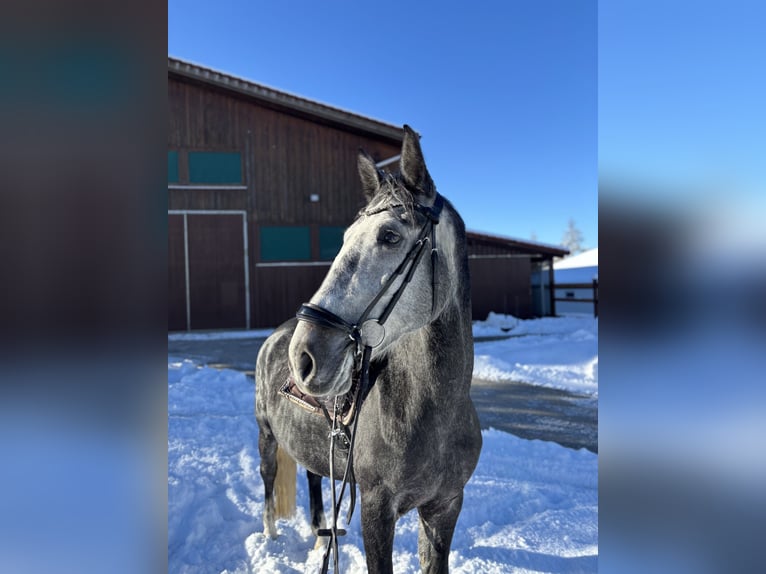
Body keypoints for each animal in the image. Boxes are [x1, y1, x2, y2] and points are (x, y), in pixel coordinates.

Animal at [258, 126, 486, 574]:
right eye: (345, 238)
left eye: (390, 236)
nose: (304, 355)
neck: (434, 412)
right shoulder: (377, 511)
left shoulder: (445, 507)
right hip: (266, 436)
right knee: (268, 480)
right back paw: (271, 537)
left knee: (315, 478)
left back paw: (319, 540)